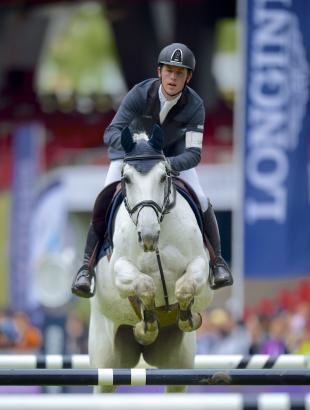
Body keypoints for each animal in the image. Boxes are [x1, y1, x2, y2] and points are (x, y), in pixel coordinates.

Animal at [88, 125, 213, 394]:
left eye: (163, 177)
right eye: (127, 179)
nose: (148, 235)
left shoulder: (200, 264)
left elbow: (185, 287)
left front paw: (186, 317)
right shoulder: (120, 270)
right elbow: (145, 285)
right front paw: (147, 327)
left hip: (178, 365)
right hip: (106, 362)